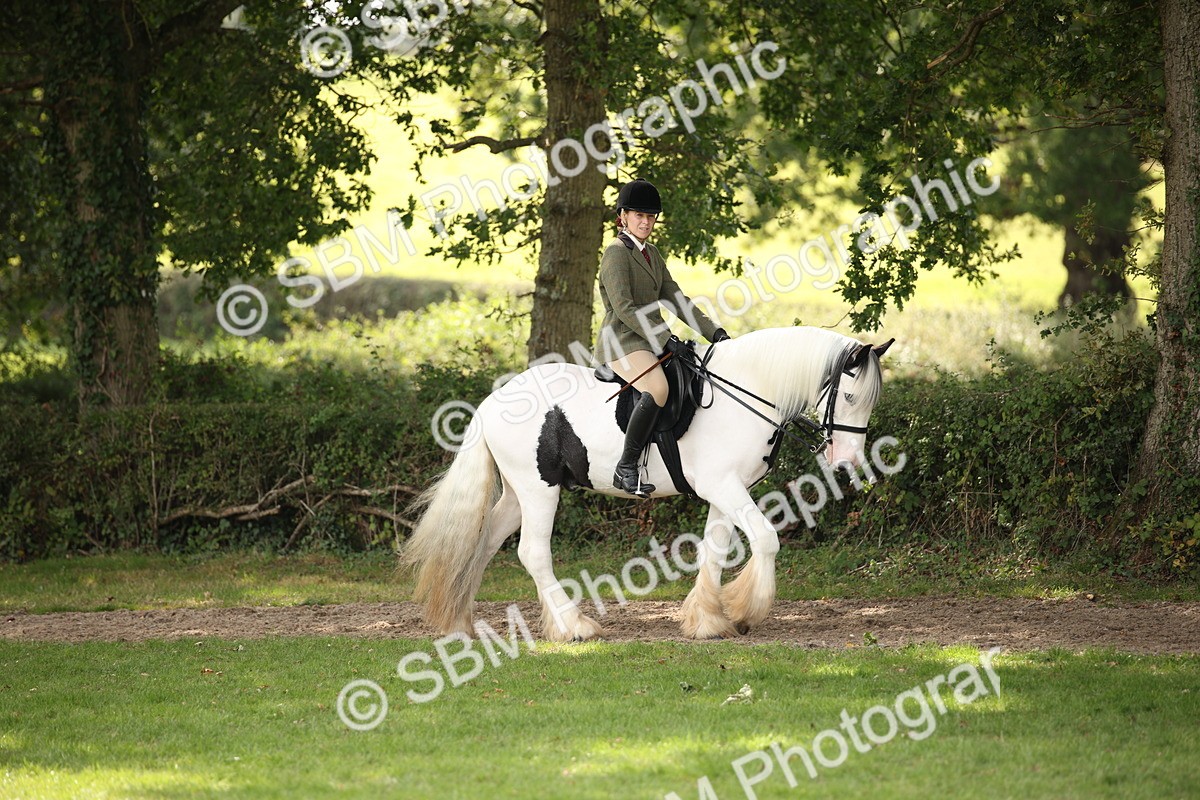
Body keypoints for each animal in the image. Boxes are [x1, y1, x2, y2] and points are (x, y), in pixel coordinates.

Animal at [402, 326, 893, 641]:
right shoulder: (724, 486)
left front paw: (707, 621)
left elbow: (714, 551)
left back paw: (462, 621)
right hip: (539, 489)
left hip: (518, 495)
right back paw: (574, 627)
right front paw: (745, 612)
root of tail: (492, 401)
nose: (848, 462)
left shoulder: (725, 489)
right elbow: (766, 539)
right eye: (850, 396)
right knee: (533, 553)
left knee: (483, 543)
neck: (746, 394)